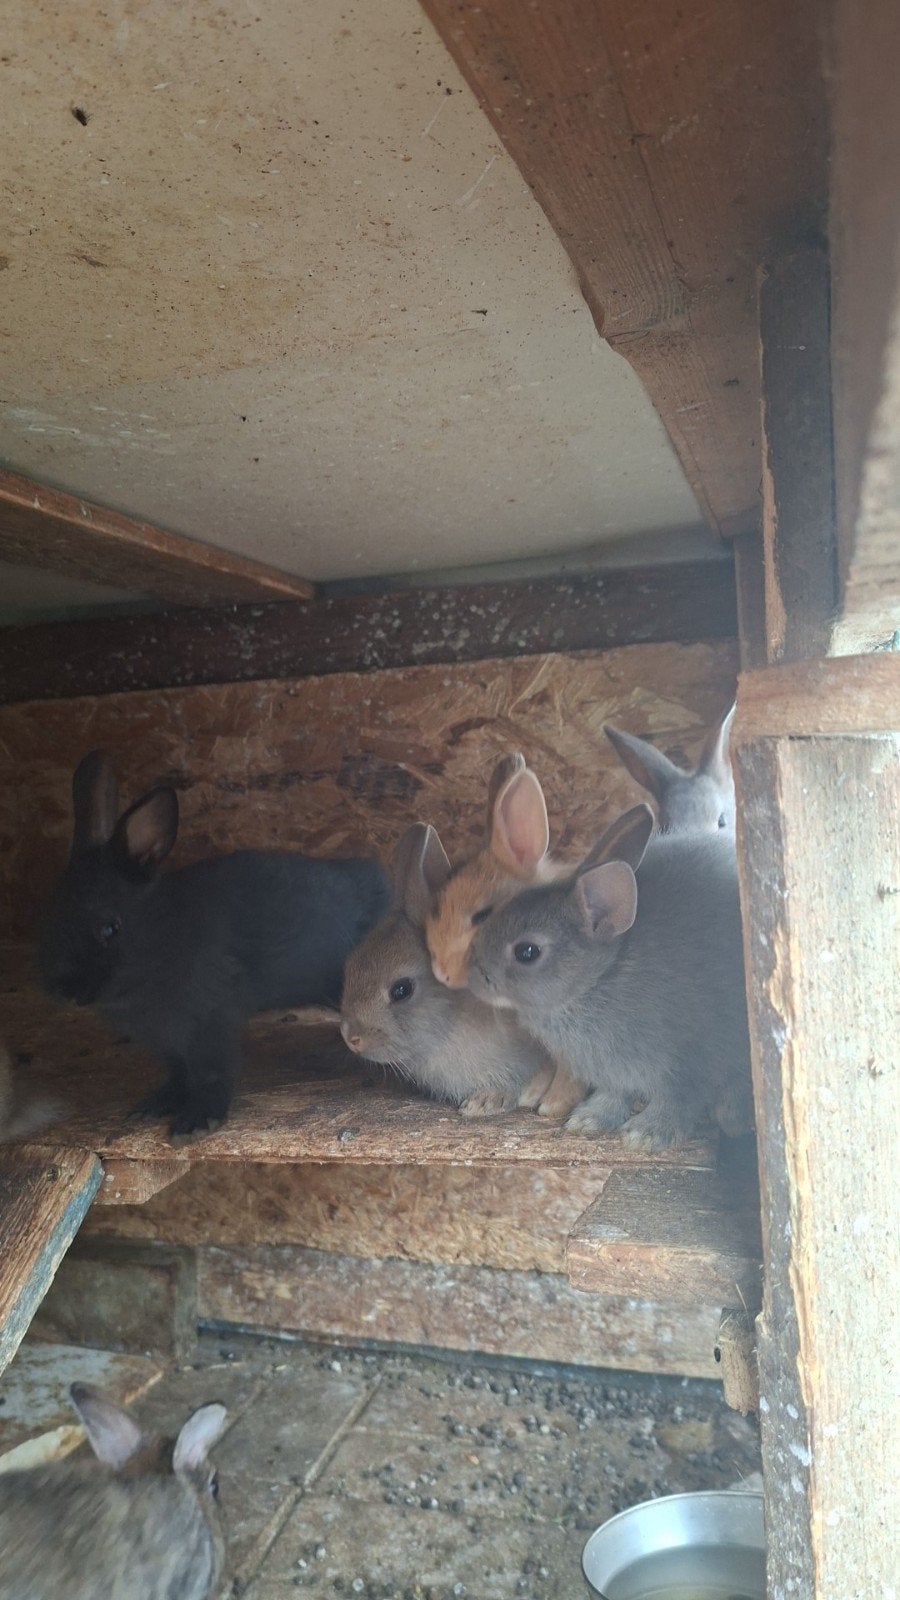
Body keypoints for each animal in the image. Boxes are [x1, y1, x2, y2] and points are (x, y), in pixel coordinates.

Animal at [39, 751, 390, 1136]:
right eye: (52, 914)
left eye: (110, 927)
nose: (62, 989)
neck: (158, 937)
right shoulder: (169, 1043)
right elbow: (179, 1073)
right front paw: (155, 1106)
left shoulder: (211, 1023)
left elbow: (211, 1074)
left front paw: (196, 1124)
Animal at [467, 803, 754, 1149]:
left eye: (527, 952)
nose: (472, 973)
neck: (599, 978)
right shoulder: (615, 1075)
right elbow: (614, 1096)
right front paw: (589, 1120)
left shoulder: (687, 1064)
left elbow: (677, 1100)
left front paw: (646, 1134)